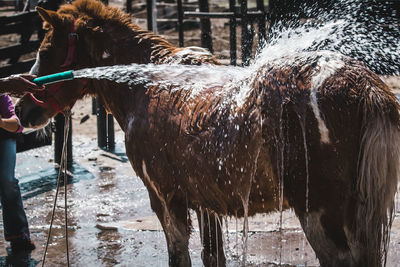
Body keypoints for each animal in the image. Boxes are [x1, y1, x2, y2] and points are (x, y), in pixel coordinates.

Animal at [14, 1, 400, 266]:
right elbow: (213, 256)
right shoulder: (206, 203)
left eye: (46, 50)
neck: (145, 86)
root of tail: (365, 86)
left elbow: (179, 256)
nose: (22, 109)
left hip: (319, 213)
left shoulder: (165, 200)